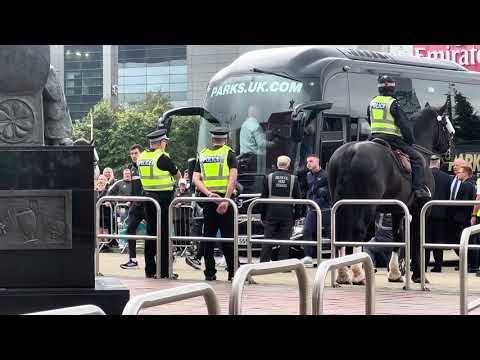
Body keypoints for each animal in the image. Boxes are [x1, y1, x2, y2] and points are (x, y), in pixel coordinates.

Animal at [326, 102, 454, 286]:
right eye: (446, 125)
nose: (451, 150)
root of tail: (349, 153)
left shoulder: (398, 209)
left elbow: (397, 236)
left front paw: (395, 273)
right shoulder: (419, 209)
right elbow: (416, 238)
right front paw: (417, 275)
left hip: (340, 202)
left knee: (340, 231)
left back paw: (342, 274)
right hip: (365, 205)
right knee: (358, 231)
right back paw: (357, 274)